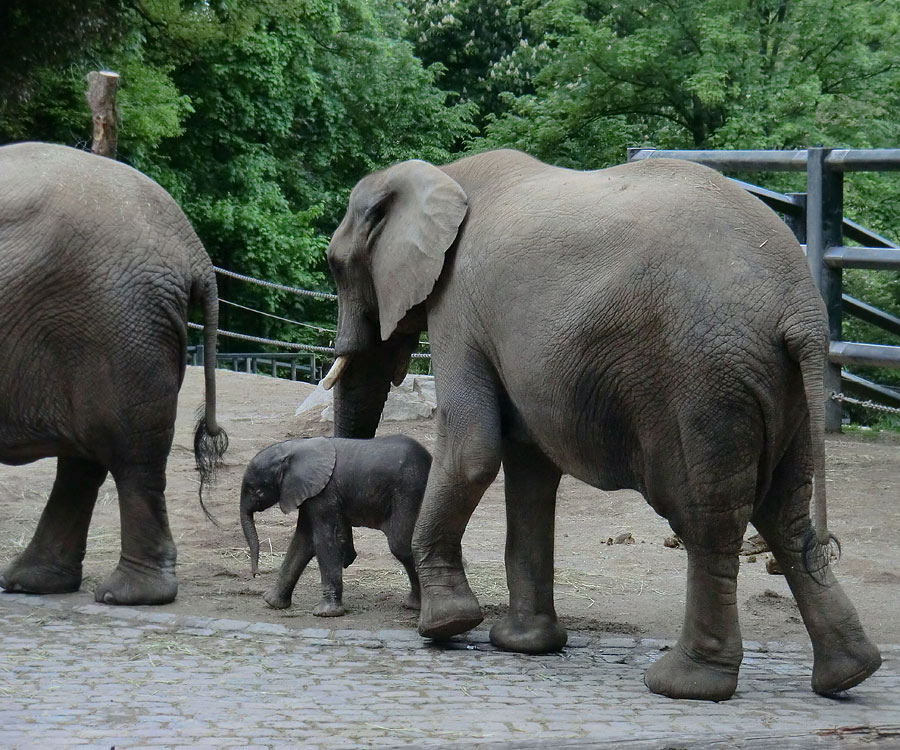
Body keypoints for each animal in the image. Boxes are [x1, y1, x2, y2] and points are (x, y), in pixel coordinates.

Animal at [0, 144, 225, 608]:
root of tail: (193, 249)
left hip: (119, 326)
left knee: (129, 451)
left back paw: (128, 595)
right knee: (85, 459)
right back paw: (31, 582)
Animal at [239, 434, 432, 616]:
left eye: (256, 491)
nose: (256, 574)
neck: (293, 448)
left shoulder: (324, 493)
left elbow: (324, 538)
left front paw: (326, 613)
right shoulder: (310, 492)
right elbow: (303, 541)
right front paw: (272, 602)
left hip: (409, 490)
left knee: (401, 545)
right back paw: (416, 605)